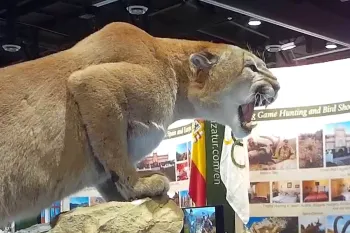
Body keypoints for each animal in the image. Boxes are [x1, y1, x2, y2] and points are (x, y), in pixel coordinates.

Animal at [0, 22, 280, 224]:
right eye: (252, 67)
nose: (278, 85)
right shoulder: (93, 82)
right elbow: (115, 153)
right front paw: (138, 186)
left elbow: (106, 165)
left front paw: (123, 194)